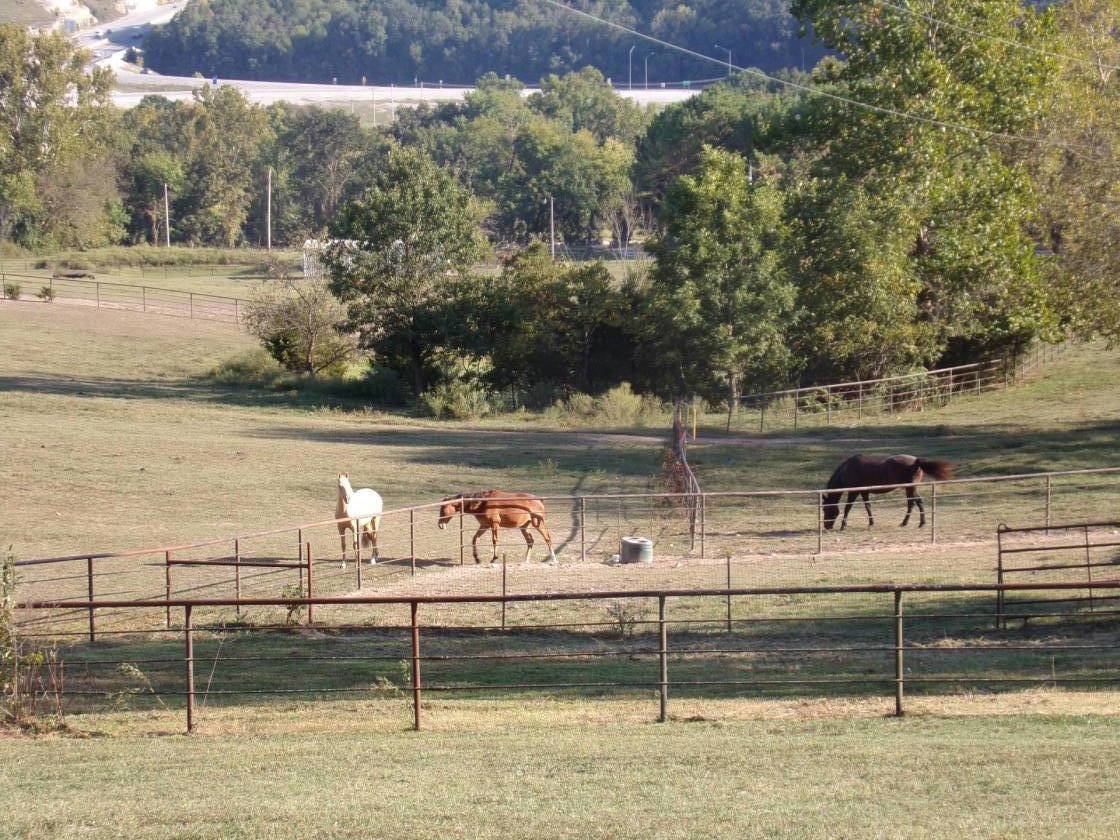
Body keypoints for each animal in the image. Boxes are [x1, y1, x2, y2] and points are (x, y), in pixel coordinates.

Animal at [821, 455, 954, 531]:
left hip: (911, 488)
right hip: (909, 489)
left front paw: (843, 526)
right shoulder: (864, 492)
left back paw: (920, 523)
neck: (847, 469)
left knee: (917, 502)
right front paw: (871, 523)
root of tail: (916, 461)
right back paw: (906, 523)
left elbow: (848, 508)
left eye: (825, 509)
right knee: (912, 503)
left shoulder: (854, 492)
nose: (827, 527)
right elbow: (868, 506)